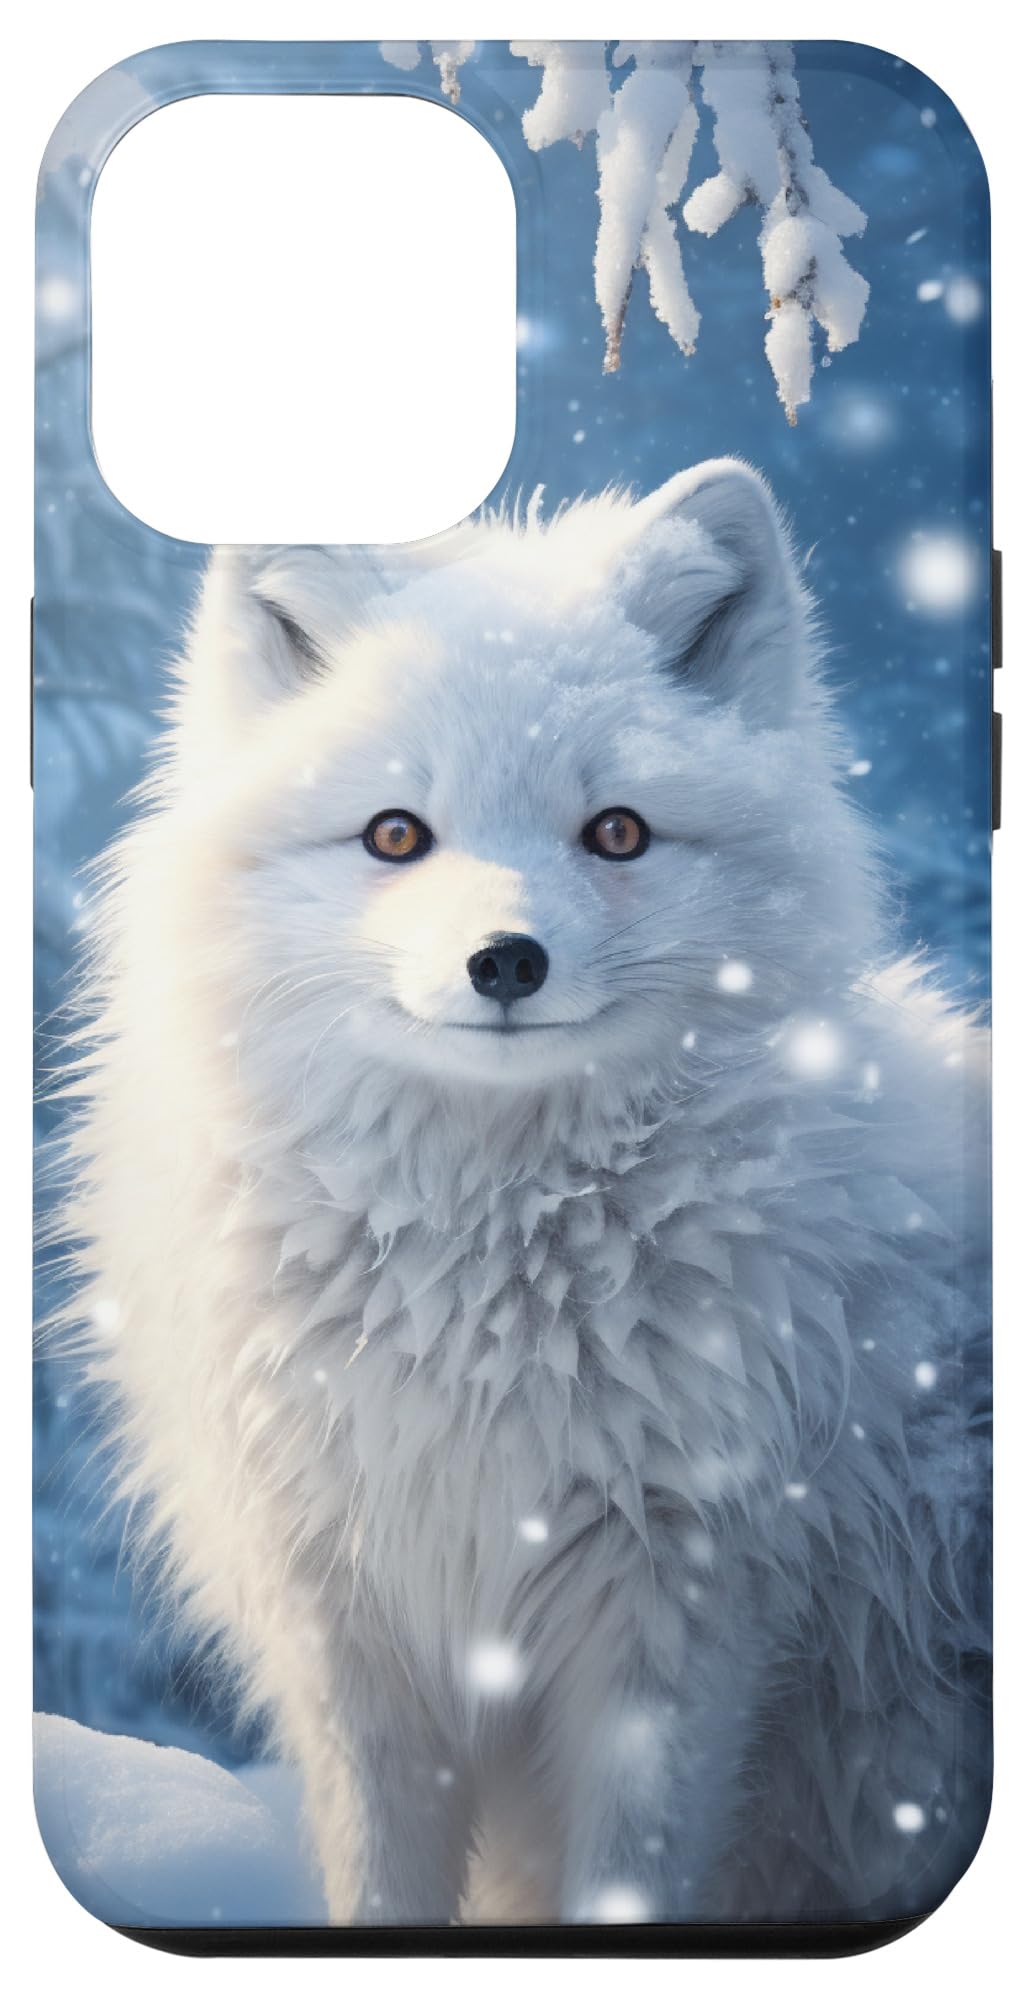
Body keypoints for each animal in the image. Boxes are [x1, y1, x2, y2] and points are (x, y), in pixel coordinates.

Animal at [61, 460, 990, 1926]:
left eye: (616, 832)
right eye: (396, 833)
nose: (506, 960)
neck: (480, 1281)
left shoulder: (678, 1613)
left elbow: (629, 1882)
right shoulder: (348, 1619)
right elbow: (379, 1884)